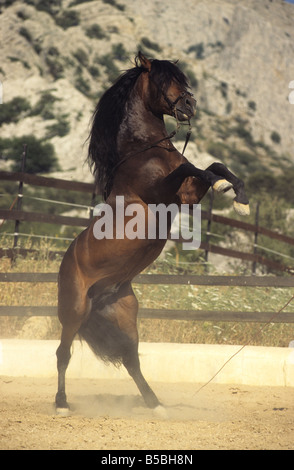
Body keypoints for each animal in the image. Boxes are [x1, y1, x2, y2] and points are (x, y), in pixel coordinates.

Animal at [54, 52, 248, 414]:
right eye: (162, 81)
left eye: (181, 79)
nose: (189, 104)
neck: (145, 149)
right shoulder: (169, 191)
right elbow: (196, 168)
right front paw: (225, 188)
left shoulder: (187, 195)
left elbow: (214, 165)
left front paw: (240, 198)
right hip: (73, 312)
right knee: (63, 354)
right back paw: (61, 404)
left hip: (125, 315)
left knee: (131, 361)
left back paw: (155, 404)